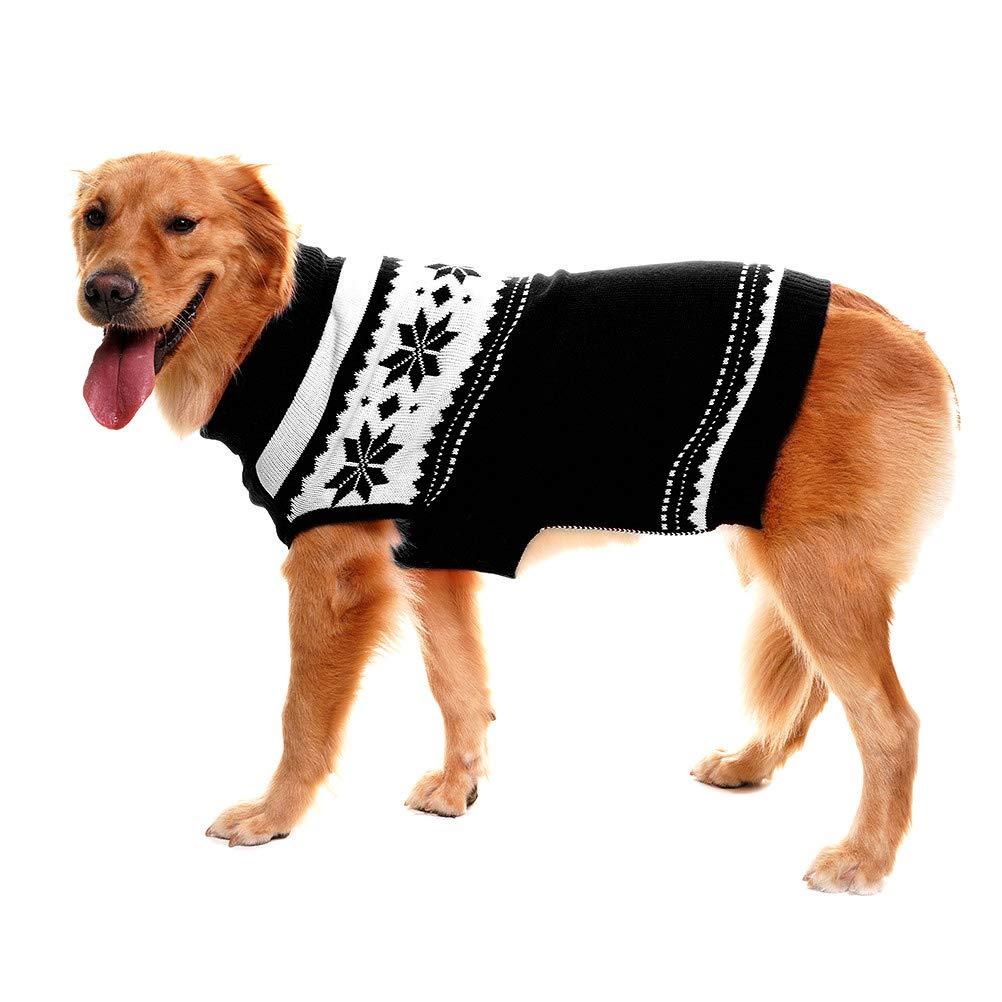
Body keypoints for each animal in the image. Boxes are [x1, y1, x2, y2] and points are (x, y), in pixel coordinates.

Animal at [72, 152, 955, 893]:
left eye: (182, 223)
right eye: (94, 216)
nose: (103, 291)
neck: (281, 328)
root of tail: (905, 332)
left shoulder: (335, 571)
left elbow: (303, 716)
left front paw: (275, 815)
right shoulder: (434, 558)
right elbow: (459, 686)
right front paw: (458, 786)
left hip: (818, 570)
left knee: (892, 724)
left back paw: (866, 857)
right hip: (798, 567)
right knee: (815, 692)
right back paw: (750, 764)